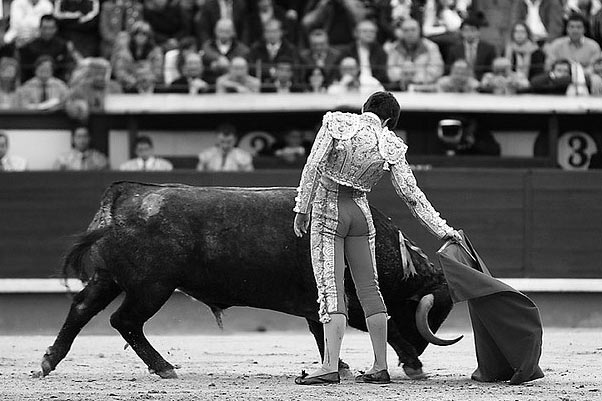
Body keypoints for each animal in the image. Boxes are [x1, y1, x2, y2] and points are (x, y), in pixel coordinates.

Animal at [36, 181, 460, 378]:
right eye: (432, 317)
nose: (420, 351)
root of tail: (125, 195)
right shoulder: (348, 299)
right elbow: (382, 323)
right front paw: (411, 364)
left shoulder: (315, 306)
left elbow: (323, 332)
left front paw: (337, 367)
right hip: (152, 287)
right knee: (123, 320)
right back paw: (164, 367)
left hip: (108, 278)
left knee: (82, 308)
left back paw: (48, 361)